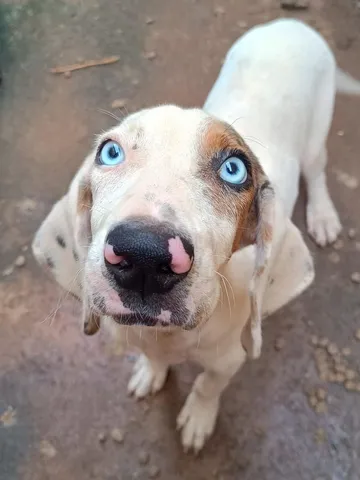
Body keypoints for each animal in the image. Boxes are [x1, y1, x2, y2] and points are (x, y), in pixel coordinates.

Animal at [31, 18, 360, 452]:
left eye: (234, 169)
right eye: (110, 152)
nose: (144, 256)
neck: (172, 337)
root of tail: (289, 22)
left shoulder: (229, 361)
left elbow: (207, 385)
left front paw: (198, 419)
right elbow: (153, 359)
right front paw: (150, 373)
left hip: (316, 135)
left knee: (317, 170)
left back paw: (322, 215)